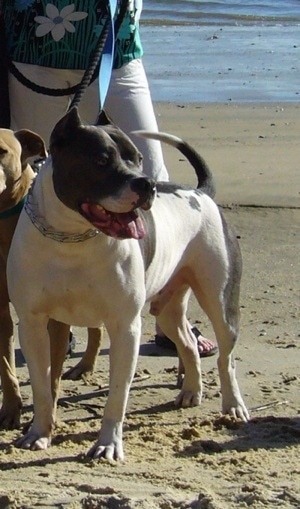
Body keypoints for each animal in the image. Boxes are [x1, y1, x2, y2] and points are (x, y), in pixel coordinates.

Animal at [7, 107, 250, 460]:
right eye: (100, 161)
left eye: (137, 159)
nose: (147, 183)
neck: (72, 237)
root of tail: (200, 193)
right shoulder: (33, 324)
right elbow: (42, 386)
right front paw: (38, 433)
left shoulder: (124, 326)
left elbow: (117, 395)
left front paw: (108, 444)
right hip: (167, 307)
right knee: (187, 342)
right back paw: (191, 391)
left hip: (220, 302)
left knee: (226, 358)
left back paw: (233, 407)